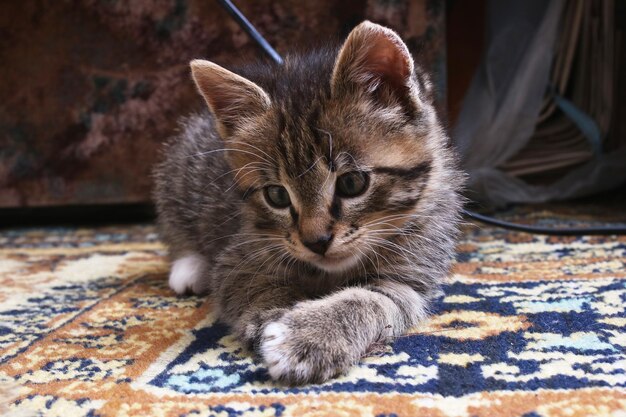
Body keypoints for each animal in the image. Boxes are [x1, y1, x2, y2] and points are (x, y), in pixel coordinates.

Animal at [152, 21, 464, 382]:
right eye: (276, 195)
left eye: (352, 183)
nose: (317, 241)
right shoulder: (241, 254)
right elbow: (248, 283)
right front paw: (276, 313)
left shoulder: (411, 277)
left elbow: (372, 301)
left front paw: (310, 335)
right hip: (181, 168)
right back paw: (189, 268)